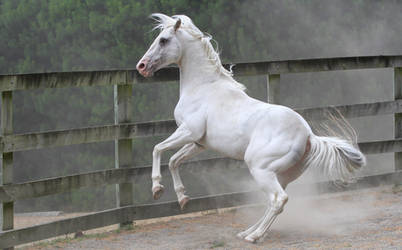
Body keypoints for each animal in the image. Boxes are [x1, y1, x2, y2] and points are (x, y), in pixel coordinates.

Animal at [137, 13, 366, 242]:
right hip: (282, 174)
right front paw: (183, 197)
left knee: (279, 199)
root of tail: (308, 135)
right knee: (272, 201)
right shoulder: (198, 143)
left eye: (163, 40)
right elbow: (174, 161)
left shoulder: (188, 131)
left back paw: (254, 236)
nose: (141, 66)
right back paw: (248, 231)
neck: (203, 87)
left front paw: (157, 188)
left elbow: (157, 149)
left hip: (260, 167)